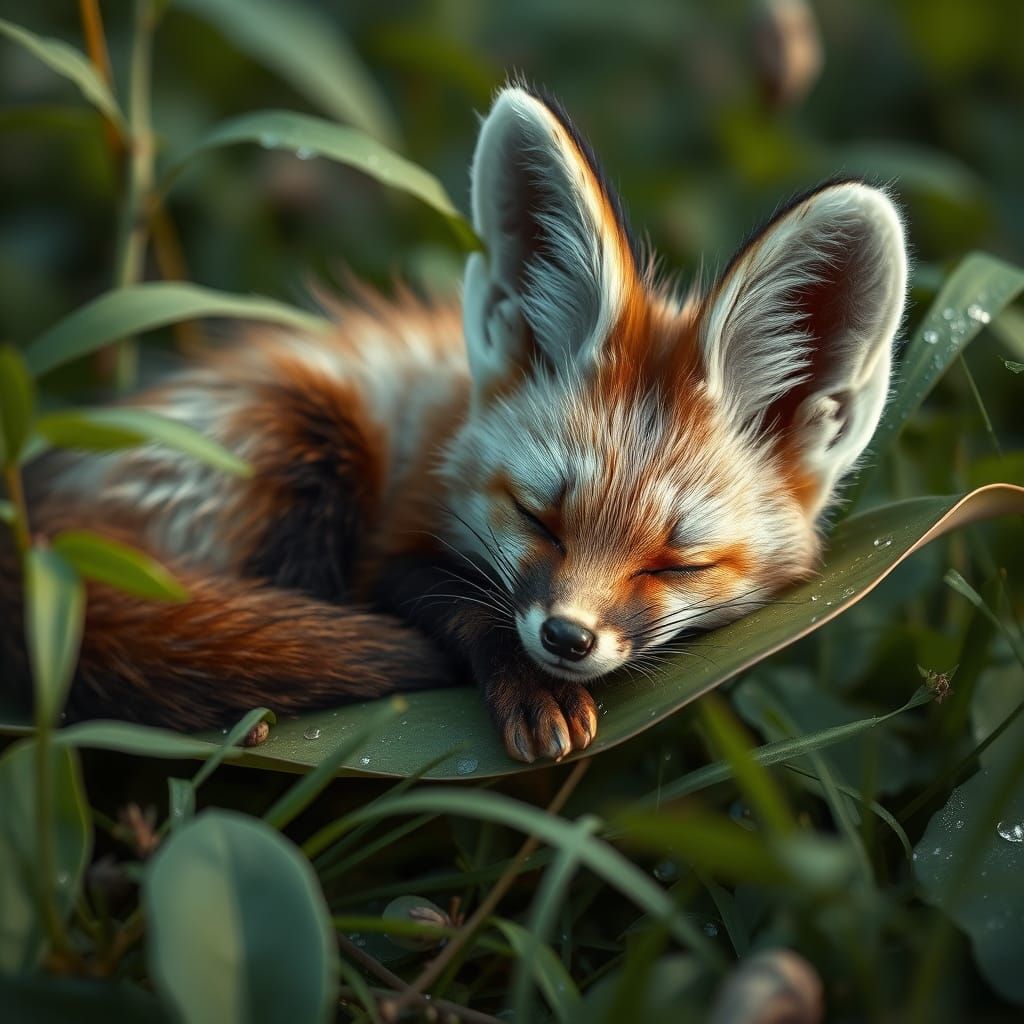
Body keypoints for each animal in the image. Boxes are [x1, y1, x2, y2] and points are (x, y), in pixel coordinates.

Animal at [0, 85, 908, 763]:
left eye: (675, 564)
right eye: (539, 519)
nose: (565, 639)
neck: (451, 431)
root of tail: (38, 517)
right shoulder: (384, 549)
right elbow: (459, 601)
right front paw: (525, 682)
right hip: (307, 441)